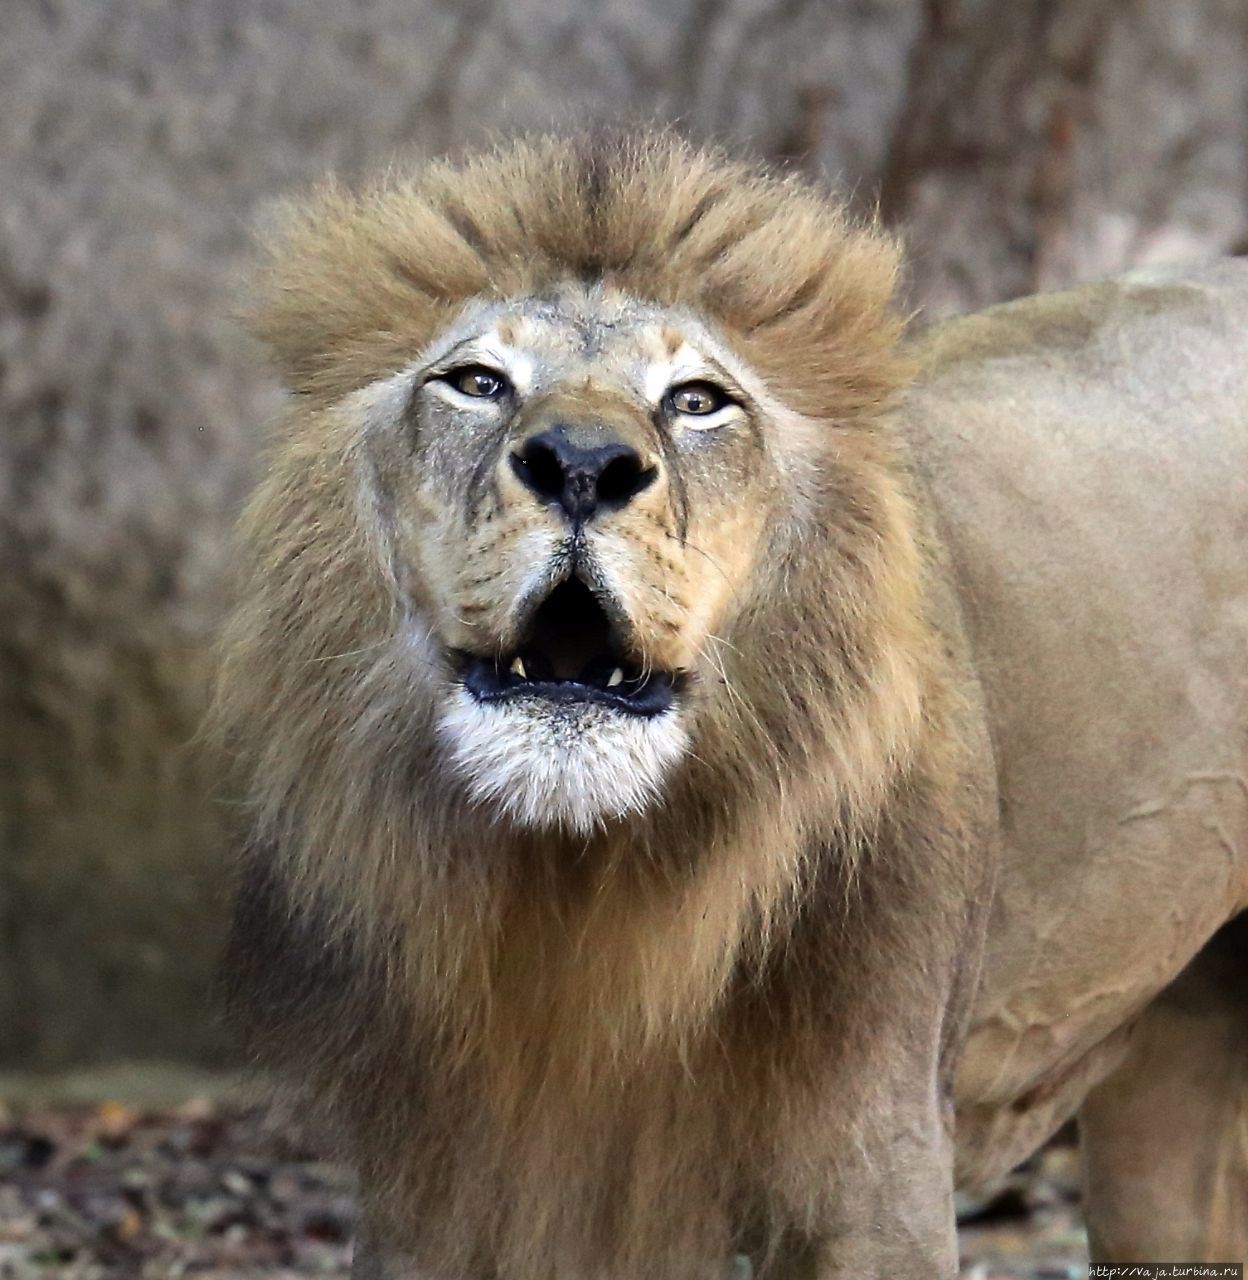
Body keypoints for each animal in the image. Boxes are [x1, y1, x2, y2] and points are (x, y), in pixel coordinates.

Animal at [217, 132, 1248, 1280]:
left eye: (697, 400)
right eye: (477, 382)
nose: (583, 463)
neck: (584, 885)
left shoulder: (874, 1159)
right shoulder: (437, 1183)